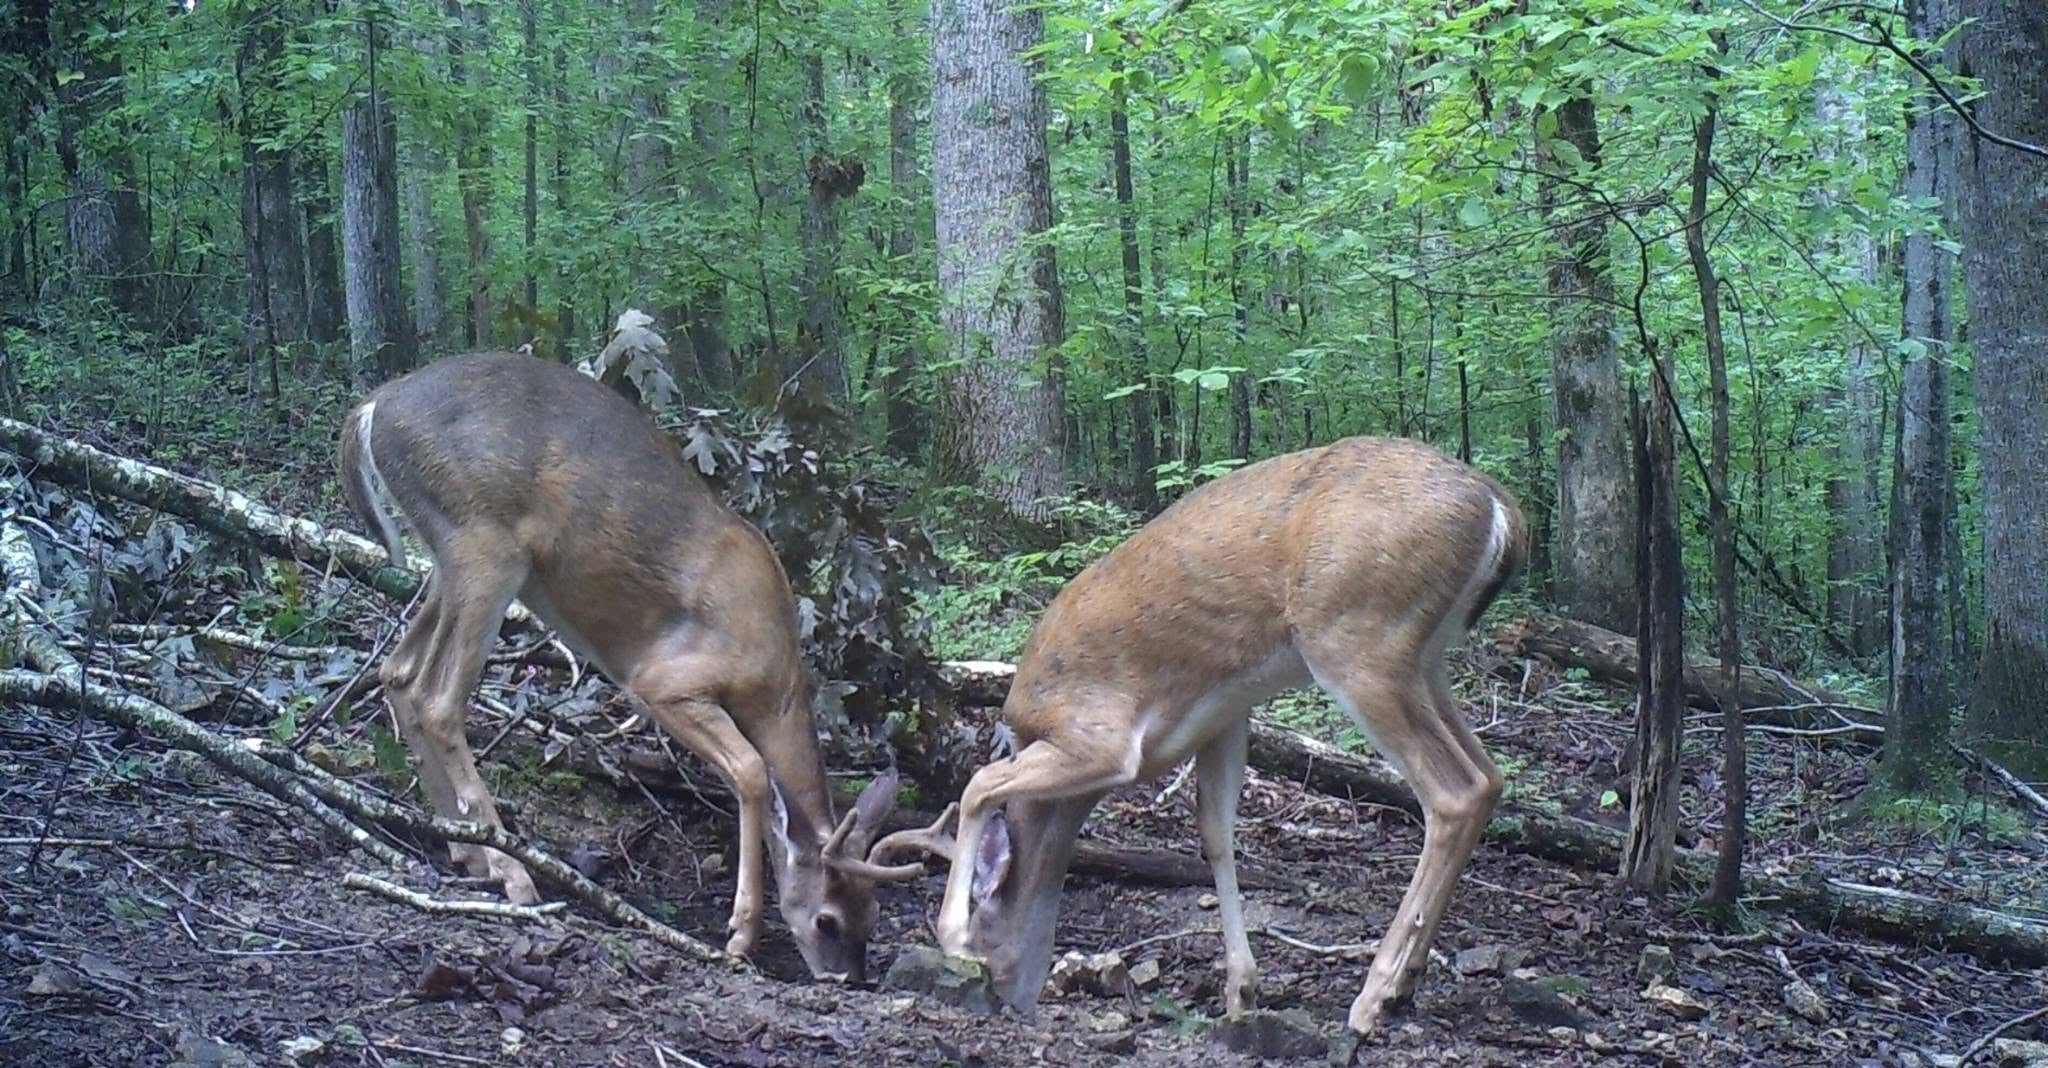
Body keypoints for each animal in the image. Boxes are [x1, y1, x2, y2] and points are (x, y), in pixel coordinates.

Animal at [336, 349, 929, 982]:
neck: (772, 680)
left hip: (447, 559)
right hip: (485, 544)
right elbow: (749, 771)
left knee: (398, 673)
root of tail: (373, 407)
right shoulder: (666, 682)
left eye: (872, 914)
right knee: (438, 699)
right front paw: (740, 933)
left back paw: (466, 850)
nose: (846, 977)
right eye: (826, 919)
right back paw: (511, 872)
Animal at [878, 435, 1528, 1039]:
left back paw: (1374, 998)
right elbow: (1215, 833)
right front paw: (1242, 990)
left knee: (1455, 791)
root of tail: (1502, 509)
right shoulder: (1224, 717)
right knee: (1491, 777)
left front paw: (952, 936)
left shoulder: (1100, 735)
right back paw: (1406, 982)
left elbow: (981, 783)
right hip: (1425, 660)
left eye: (989, 931)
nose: (1009, 1000)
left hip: (1357, 639)